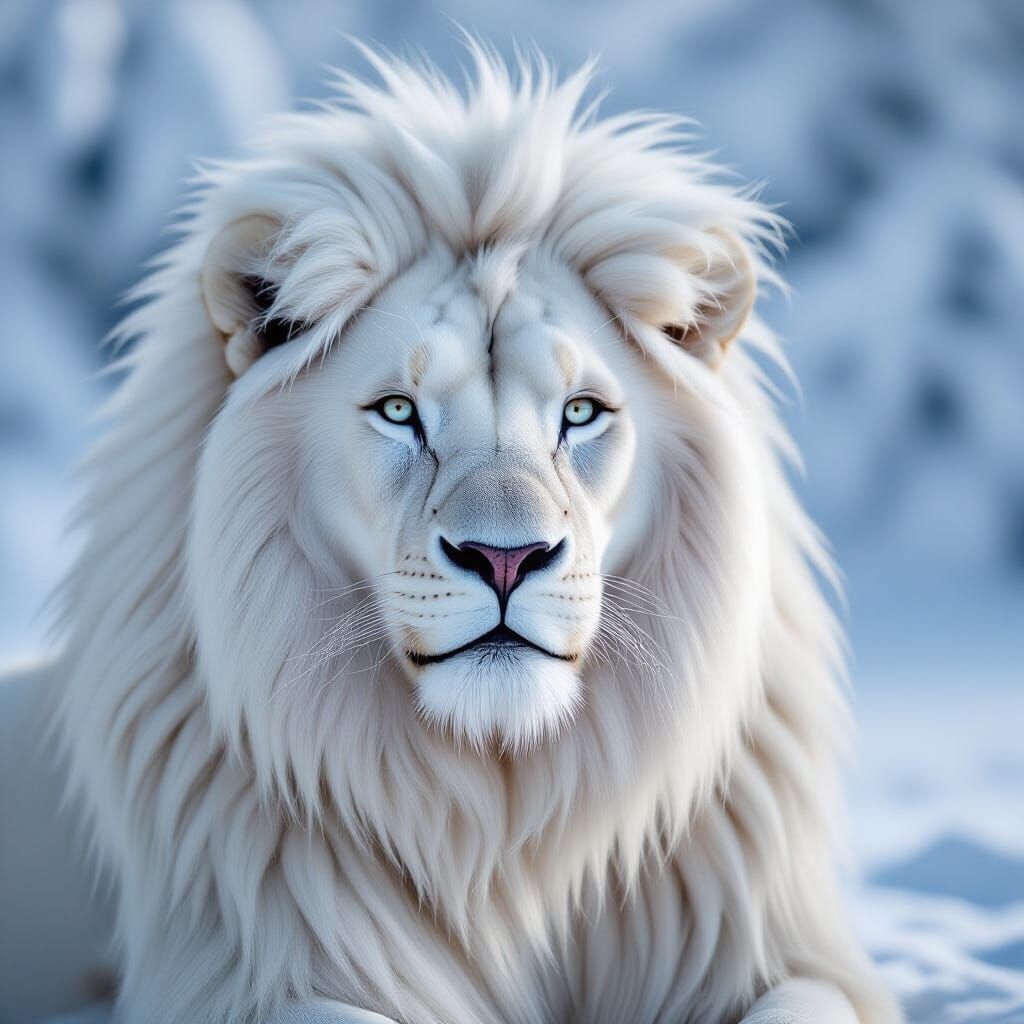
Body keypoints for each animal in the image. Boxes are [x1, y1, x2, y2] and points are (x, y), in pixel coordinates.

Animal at [1, 43, 900, 1024]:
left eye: (580, 413)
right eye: (400, 412)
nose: (505, 558)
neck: (507, 828)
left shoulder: (780, 953)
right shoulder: (243, 974)